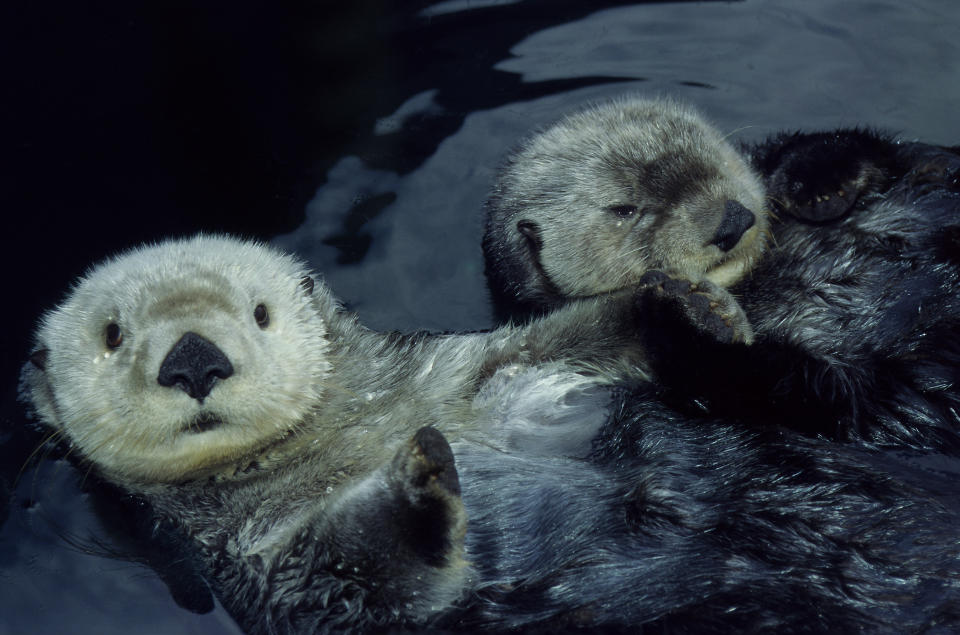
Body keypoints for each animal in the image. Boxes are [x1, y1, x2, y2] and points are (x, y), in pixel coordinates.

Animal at [484, 97, 960, 450]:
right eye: (624, 210)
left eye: (709, 159)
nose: (732, 221)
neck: (759, 276)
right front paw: (694, 313)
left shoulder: (913, 163)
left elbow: (863, 147)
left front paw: (818, 186)